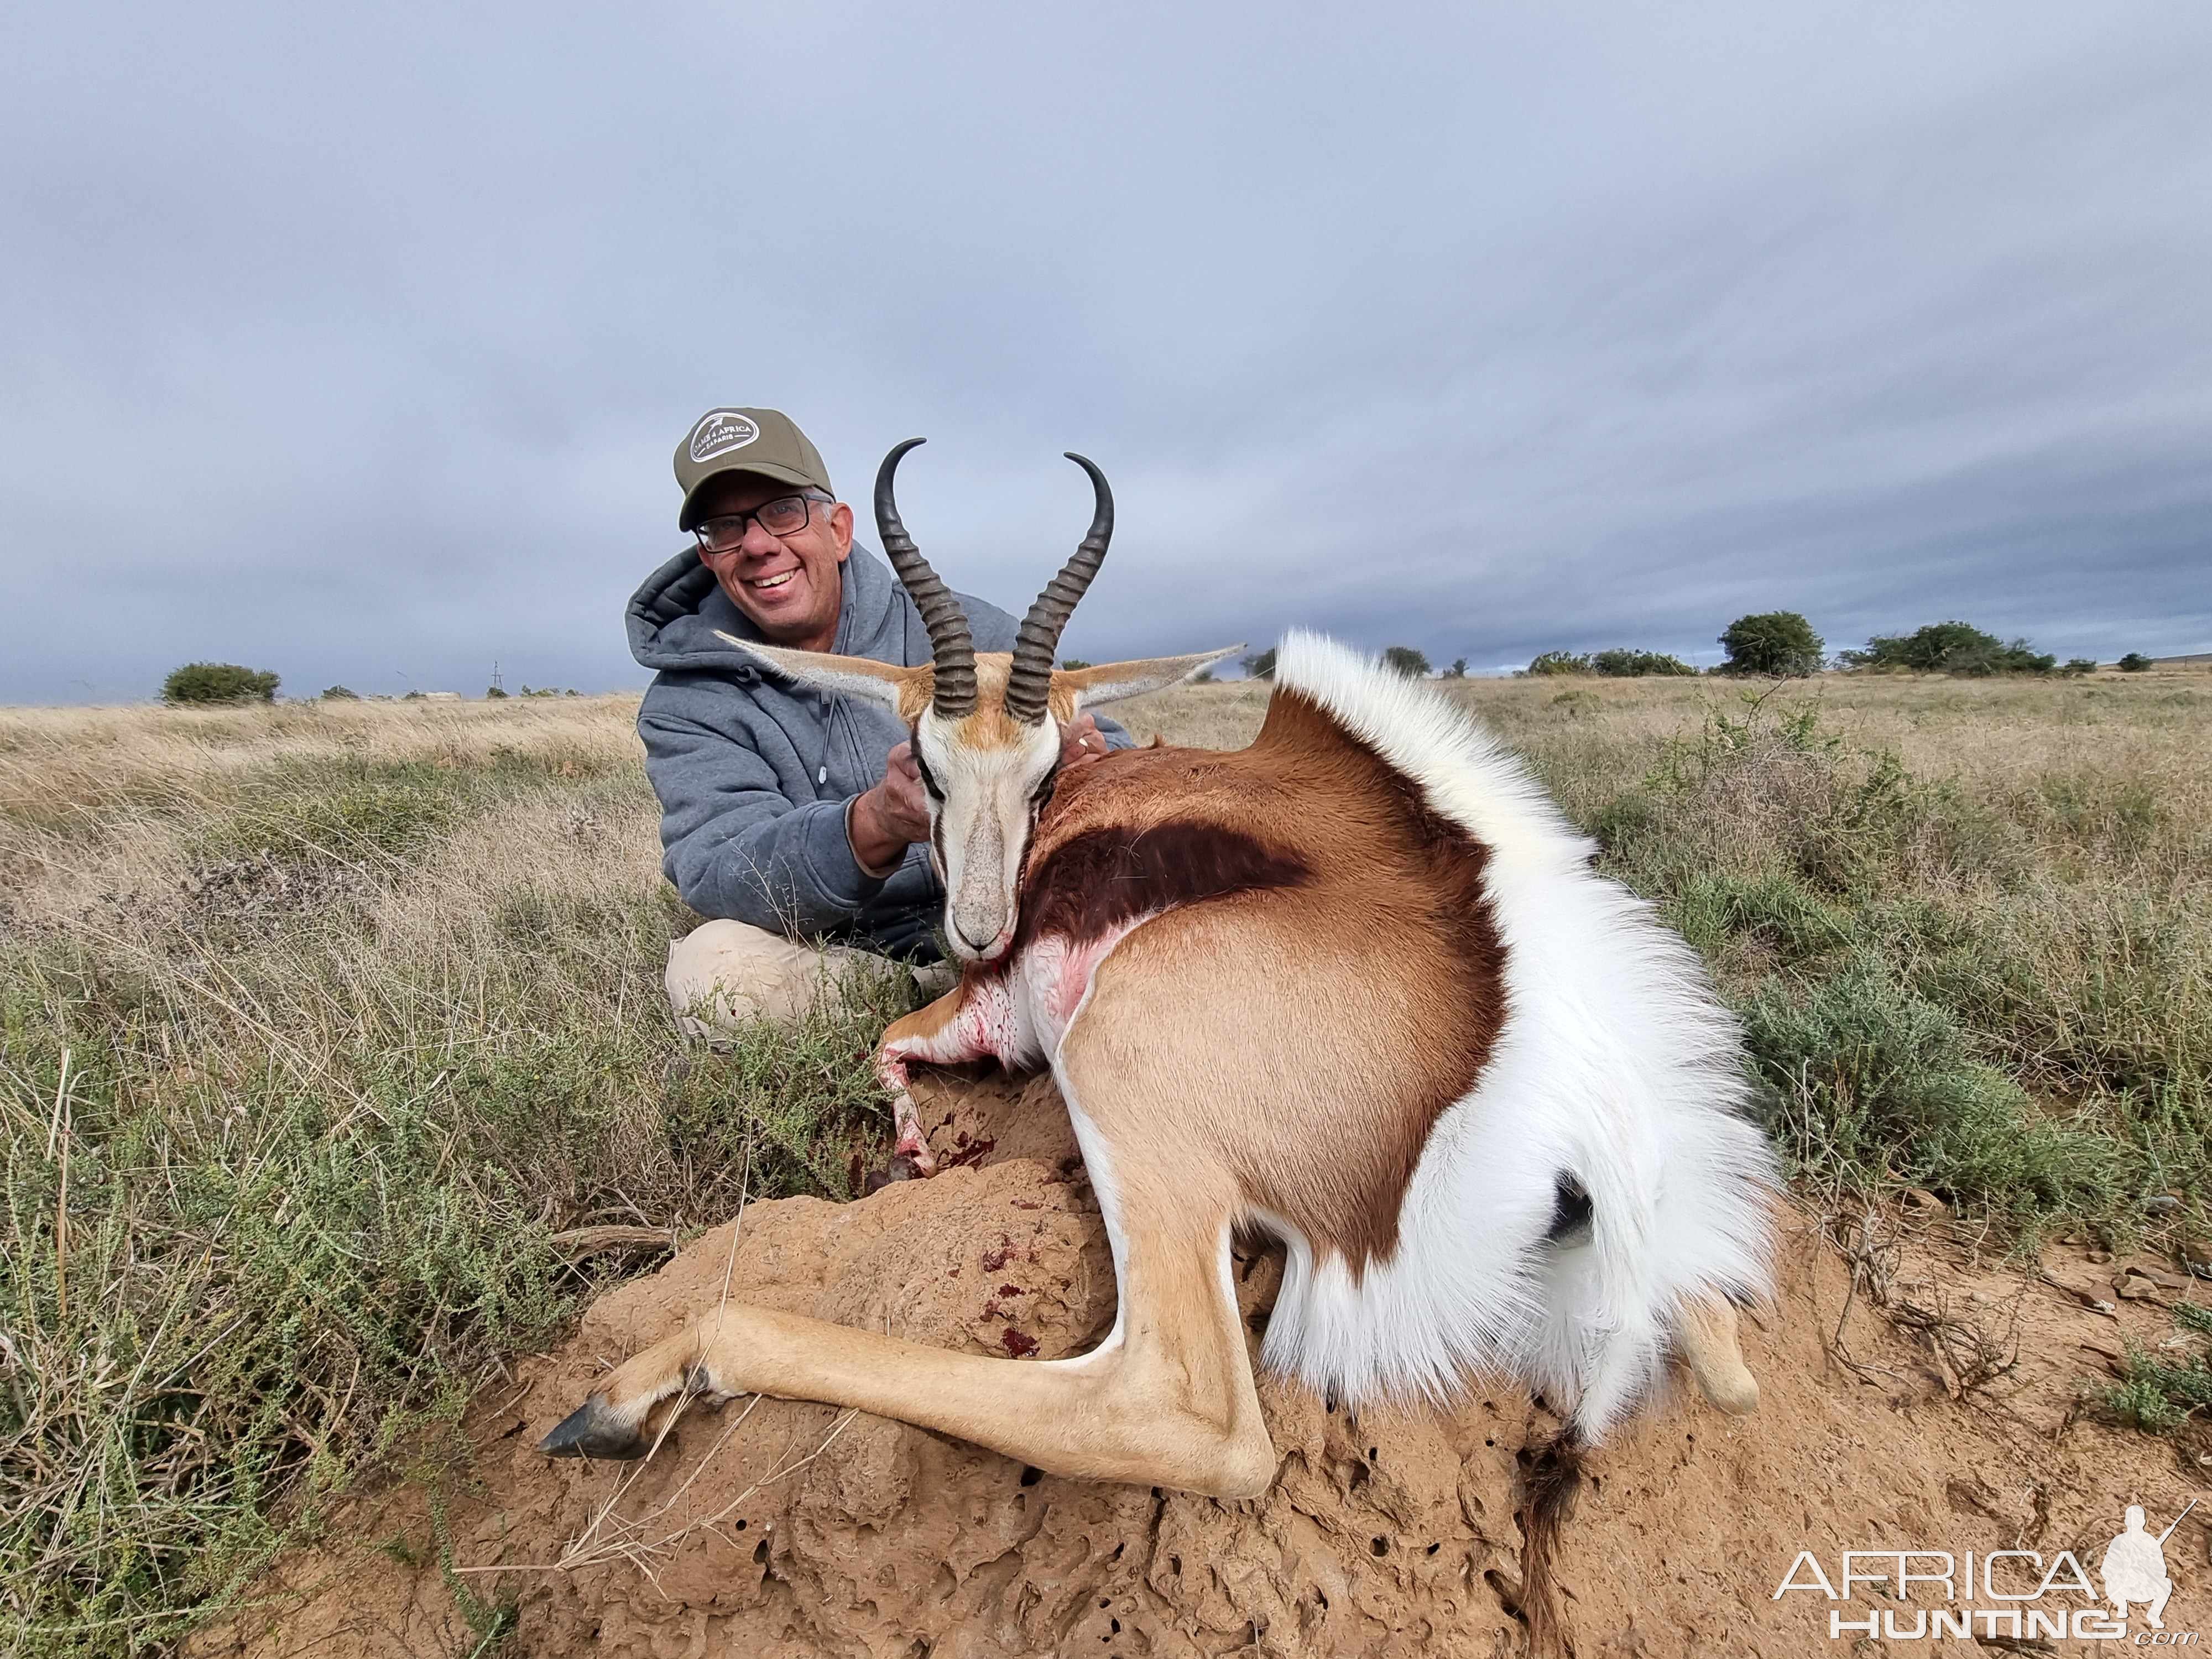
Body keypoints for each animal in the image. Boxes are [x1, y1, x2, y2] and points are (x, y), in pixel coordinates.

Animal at [553, 442, 1778, 1655]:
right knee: (1727, 1364)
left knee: (1180, 1414)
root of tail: (1566, 1108)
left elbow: (889, 1047)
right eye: (925, 767)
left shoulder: (989, 1016)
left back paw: (619, 1399)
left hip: (1123, 1086)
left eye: (1044, 771)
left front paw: (909, 1155)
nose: (980, 929)